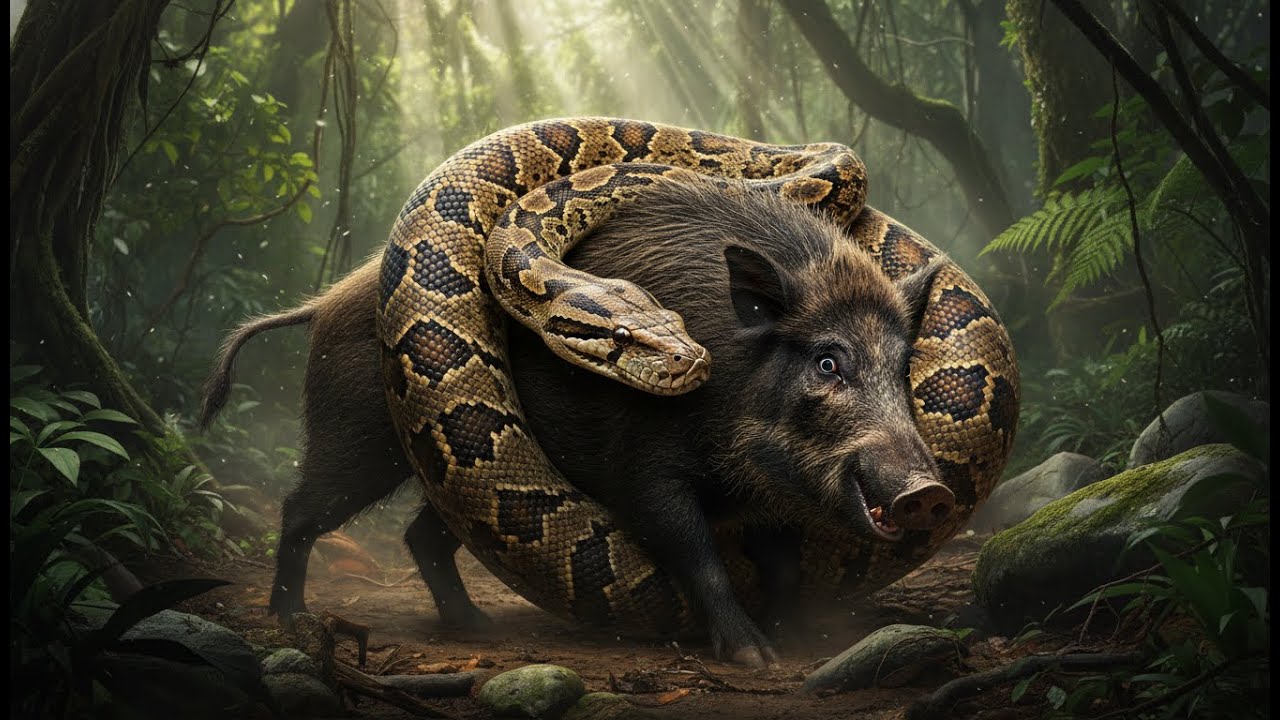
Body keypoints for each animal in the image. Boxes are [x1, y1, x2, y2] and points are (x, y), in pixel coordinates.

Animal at [200, 181, 952, 666]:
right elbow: (697, 556)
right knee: (303, 509)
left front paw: (795, 643)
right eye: (827, 362)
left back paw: (478, 631)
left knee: (426, 534)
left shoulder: (774, 499)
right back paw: (289, 617)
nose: (929, 490)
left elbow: (786, 565)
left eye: (903, 368)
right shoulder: (648, 470)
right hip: (359, 439)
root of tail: (323, 302)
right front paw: (754, 658)